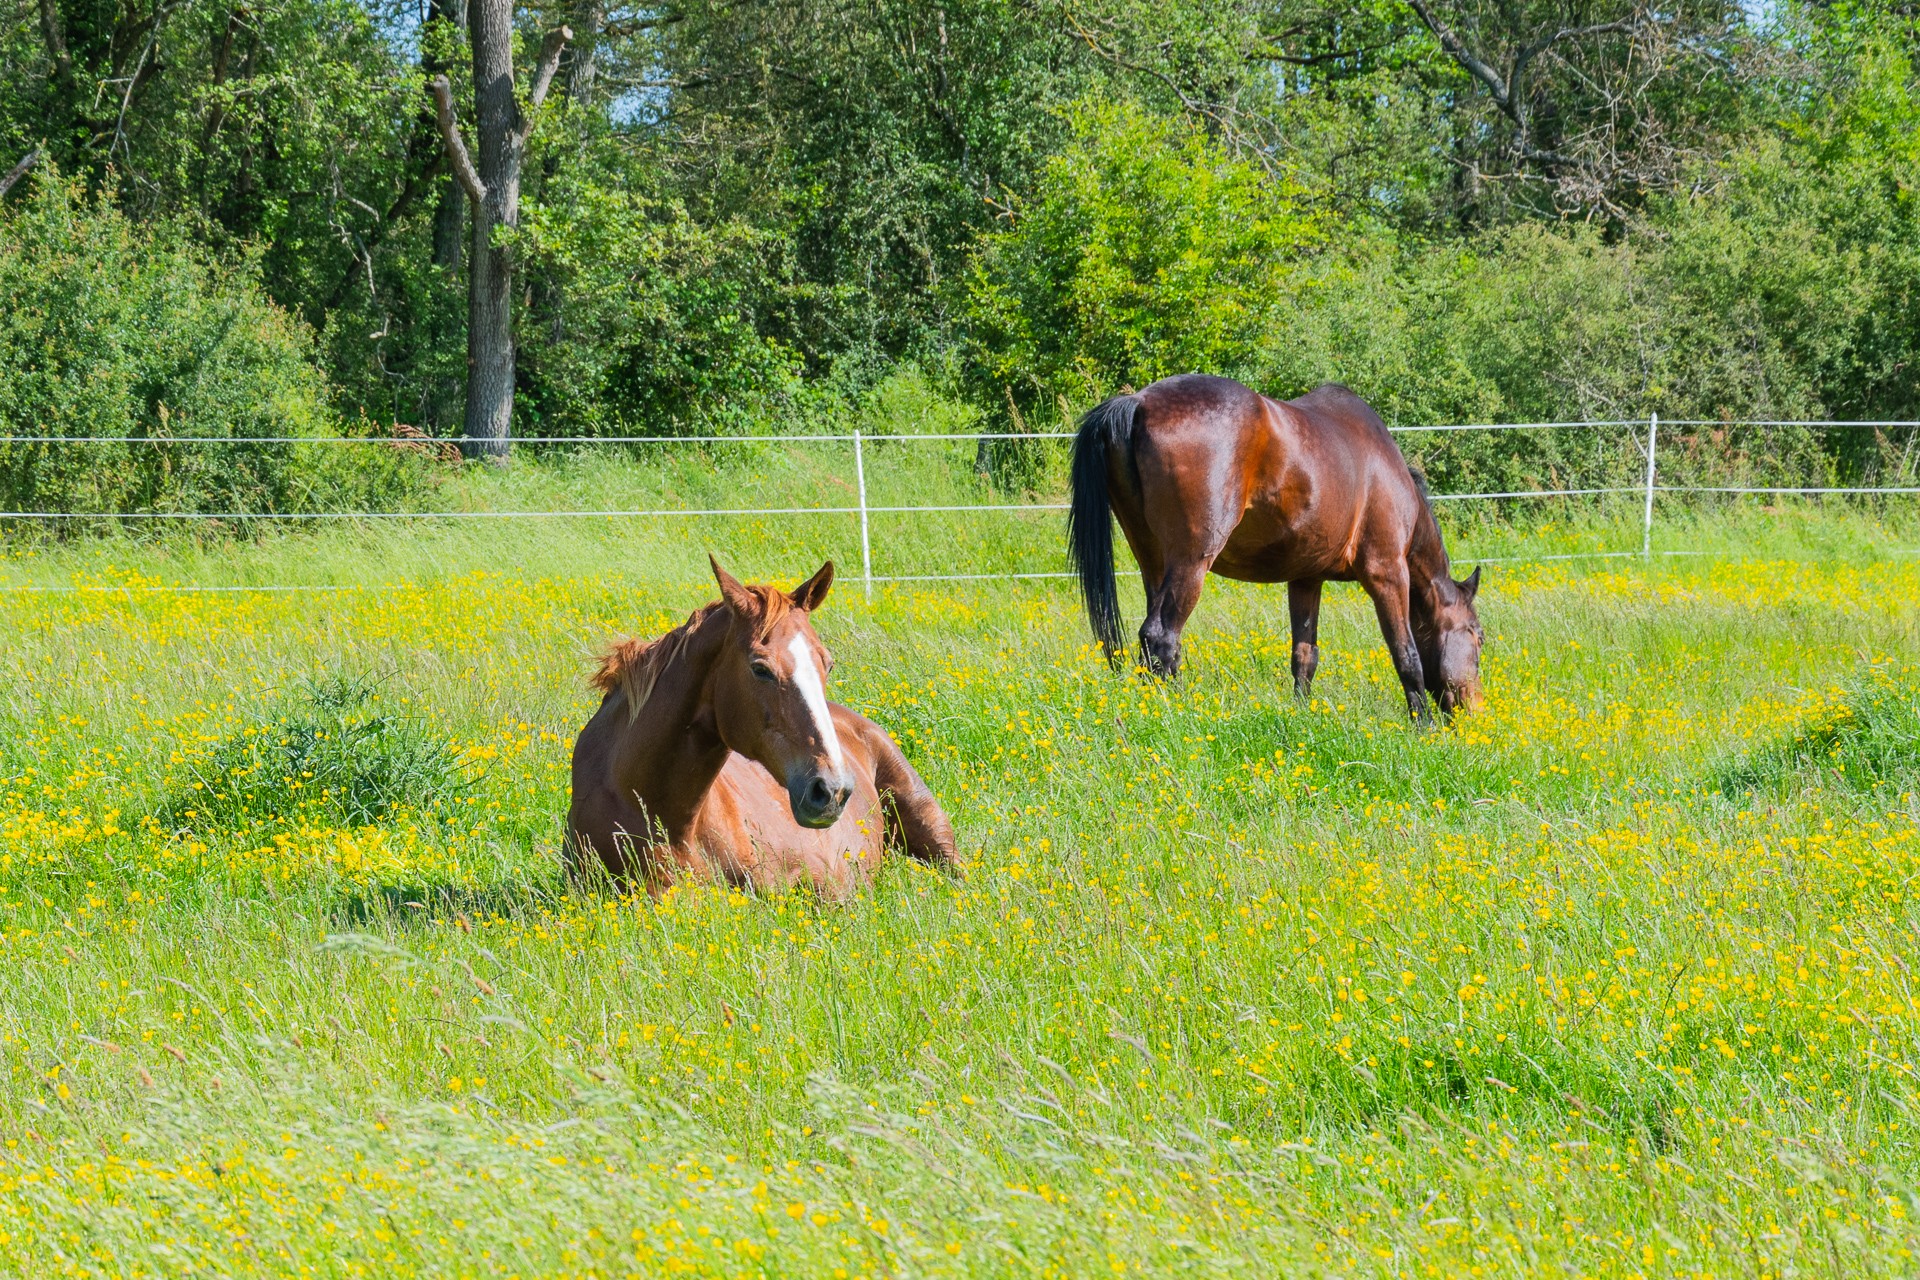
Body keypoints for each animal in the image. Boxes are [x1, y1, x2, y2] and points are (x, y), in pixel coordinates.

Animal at [1067, 378, 1482, 721]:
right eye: (1478, 635)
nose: (1475, 710)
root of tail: (1137, 402)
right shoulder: (1388, 572)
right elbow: (1405, 654)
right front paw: (1423, 725)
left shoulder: (1306, 579)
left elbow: (1305, 654)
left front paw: (1301, 714)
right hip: (1191, 563)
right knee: (1161, 636)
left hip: (1153, 561)